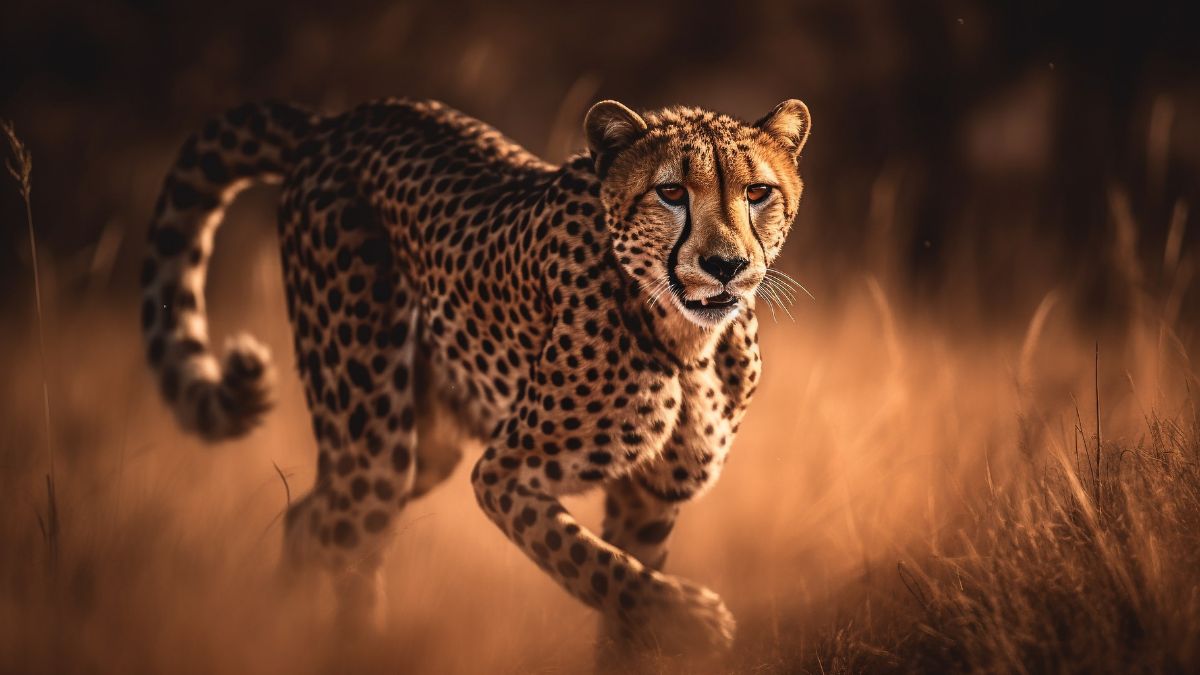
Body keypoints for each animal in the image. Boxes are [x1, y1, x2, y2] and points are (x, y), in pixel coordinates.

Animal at [139, 94, 811, 663]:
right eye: (670, 191)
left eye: (757, 192)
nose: (724, 265)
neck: (685, 341)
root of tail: (340, 120)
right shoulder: (503, 473)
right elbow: (593, 565)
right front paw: (693, 620)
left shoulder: (650, 496)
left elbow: (623, 601)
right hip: (374, 446)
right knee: (339, 537)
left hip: (423, 449)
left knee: (310, 520)